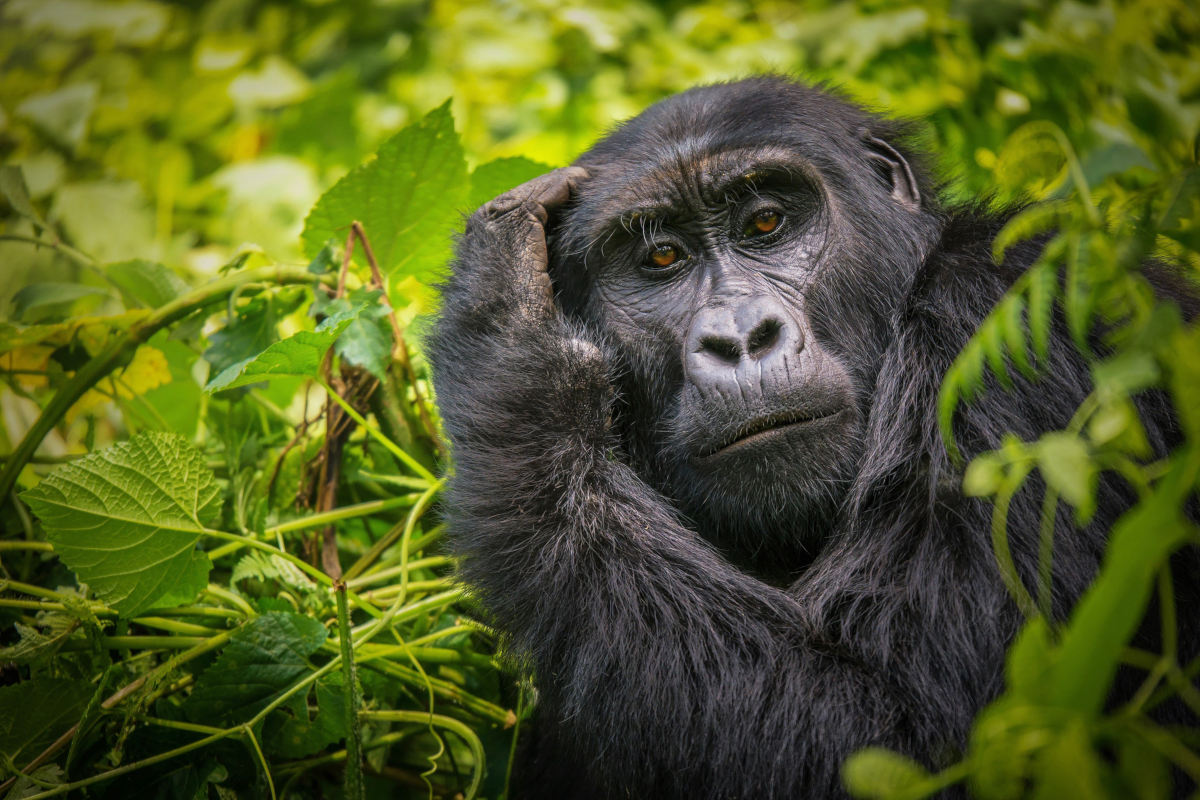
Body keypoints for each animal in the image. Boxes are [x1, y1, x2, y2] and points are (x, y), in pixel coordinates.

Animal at [427, 76, 1195, 800]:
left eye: (766, 221)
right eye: (662, 258)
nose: (739, 338)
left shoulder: (1019, 315)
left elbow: (910, 737)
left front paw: (510, 348)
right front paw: (508, 309)